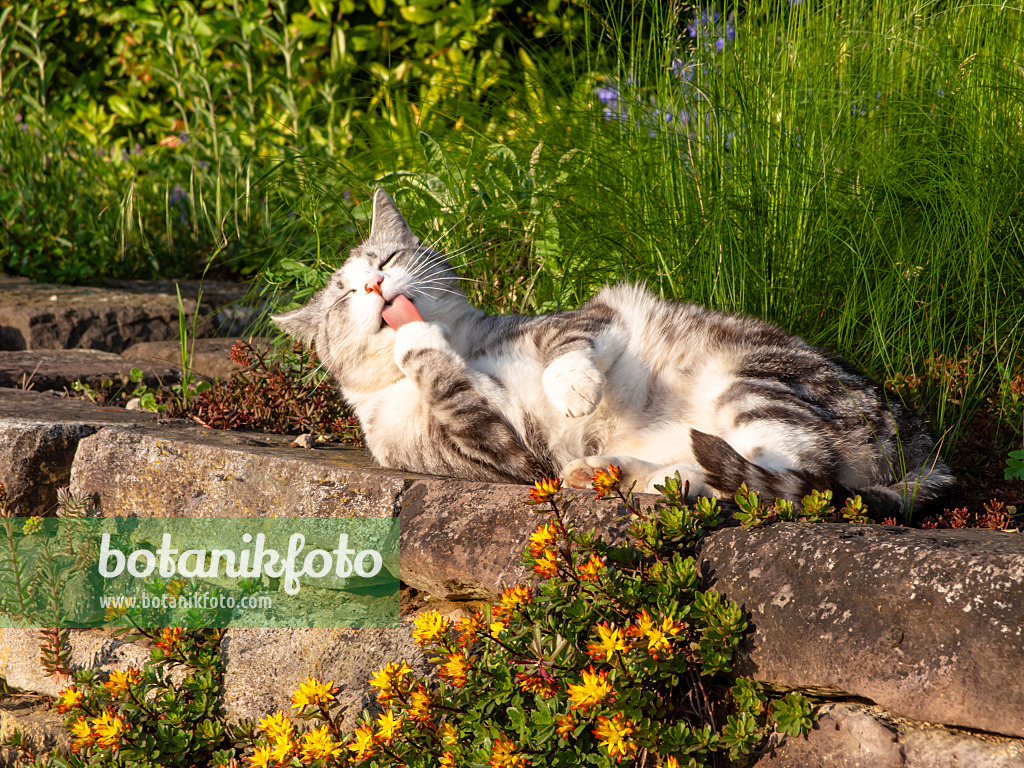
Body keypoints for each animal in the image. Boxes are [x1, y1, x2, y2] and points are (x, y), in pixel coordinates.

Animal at [272, 189, 950, 520]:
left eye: (385, 258)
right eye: (341, 298)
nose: (373, 286)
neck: (467, 344)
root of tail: (925, 450)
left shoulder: (578, 319)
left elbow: (564, 346)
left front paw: (572, 388)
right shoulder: (493, 449)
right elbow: (453, 388)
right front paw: (416, 342)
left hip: (756, 376)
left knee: (792, 474)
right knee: (769, 479)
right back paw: (616, 472)